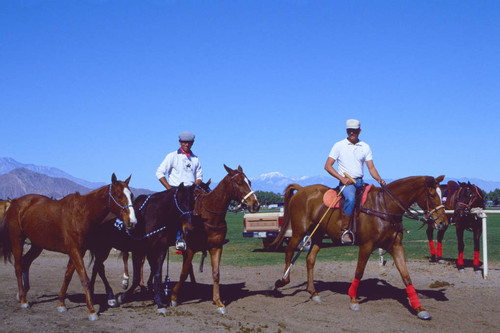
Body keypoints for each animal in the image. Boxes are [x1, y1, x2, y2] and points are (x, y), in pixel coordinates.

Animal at [0, 174, 137, 320]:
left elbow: (68, 276)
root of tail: (15, 202)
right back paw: (23, 300)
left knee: (26, 262)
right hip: (17, 240)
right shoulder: (75, 250)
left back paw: (24, 293)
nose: (132, 222)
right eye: (118, 195)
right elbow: (84, 278)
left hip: (37, 245)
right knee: (18, 266)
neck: (80, 214)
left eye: (131, 195)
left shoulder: (79, 251)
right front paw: (92, 311)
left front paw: (61, 303)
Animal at [170, 165, 260, 312]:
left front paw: (218, 302)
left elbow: (216, 273)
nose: (256, 205)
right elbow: (183, 272)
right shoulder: (189, 248)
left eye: (250, 182)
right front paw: (173, 298)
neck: (207, 217)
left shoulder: (216, 247)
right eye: (239, 182)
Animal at [272, 175, 448, 318]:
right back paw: (282, 281)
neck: (385, 207)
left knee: (310, 259)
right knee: (289, 251)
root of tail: (301, 189)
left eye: (443, 196)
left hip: (318, 234)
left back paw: (313, 292)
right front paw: (353, 300)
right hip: (299, 231)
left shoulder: (396, 247)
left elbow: (406, 276)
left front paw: (419, 309)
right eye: (432, 195)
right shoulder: (366, 245)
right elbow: (359, 271)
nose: (443, 223)